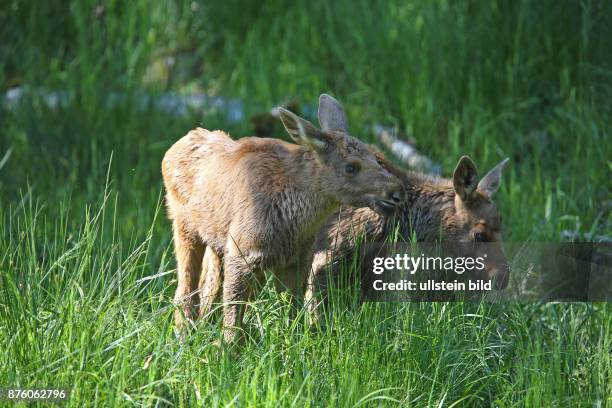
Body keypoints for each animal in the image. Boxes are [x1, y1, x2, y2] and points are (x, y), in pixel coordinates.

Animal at [161, 94, 406, 342]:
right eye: (350, 167)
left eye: (377, 159)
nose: (397, 192)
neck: (296, 224)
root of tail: (176, 145)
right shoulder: (242, 255)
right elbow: (233, 319)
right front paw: (226, 349)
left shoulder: (296, 260)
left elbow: (292, 316)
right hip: (184, 226)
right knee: (185, 290)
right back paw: (183, 334)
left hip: (218, 245)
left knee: (209, 288)